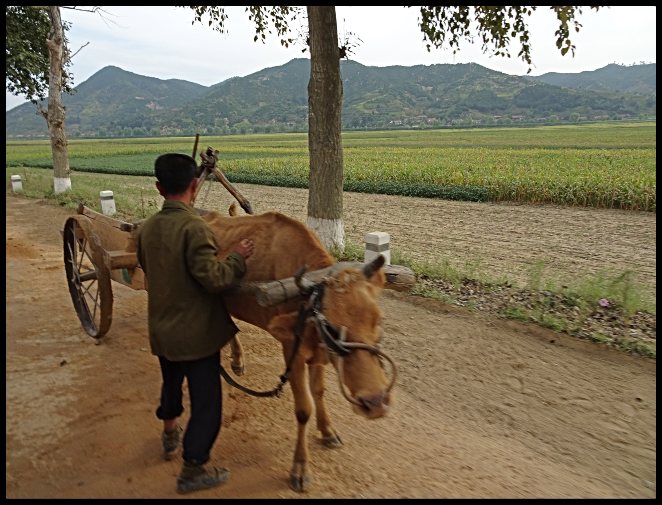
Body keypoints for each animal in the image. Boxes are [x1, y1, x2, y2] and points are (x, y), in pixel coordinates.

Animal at [199, 208, 394, 492]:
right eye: (331, 327)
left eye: (378, 320)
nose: (376, 402)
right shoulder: (293, 350)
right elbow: (304, 409)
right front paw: (300, 468)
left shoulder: (318, 355)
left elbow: (319, 392)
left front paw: (327, 431)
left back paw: (237, 360)